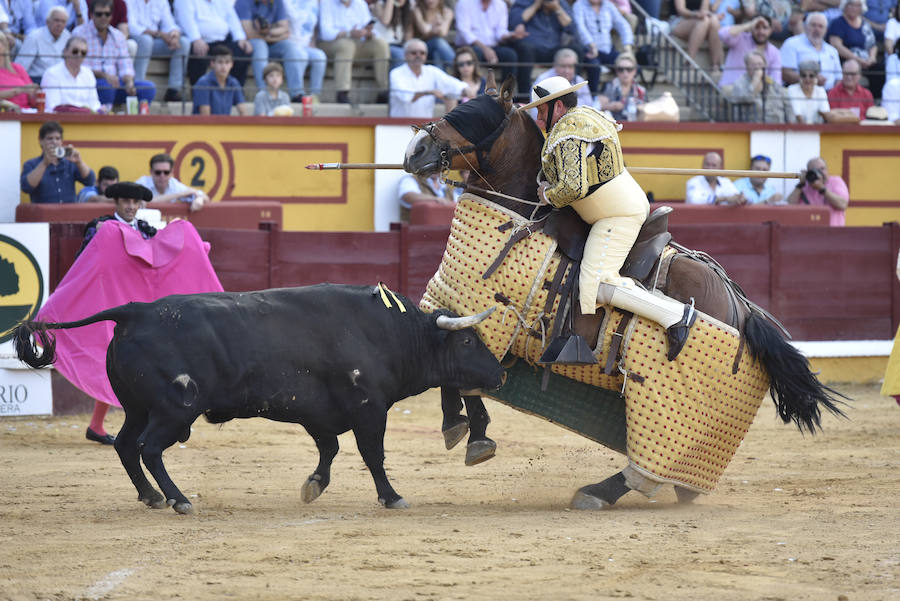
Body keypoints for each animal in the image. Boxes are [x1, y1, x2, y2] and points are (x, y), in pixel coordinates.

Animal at [403, 75, 846, 509]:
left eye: (474, 117)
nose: (414, 149)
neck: (523, 210)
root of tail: (743, 306)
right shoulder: (454, 307)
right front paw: (461, 427)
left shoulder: (482, 317)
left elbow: (460, 371)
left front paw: (473, 435)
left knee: (649, 467)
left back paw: (598, 490)